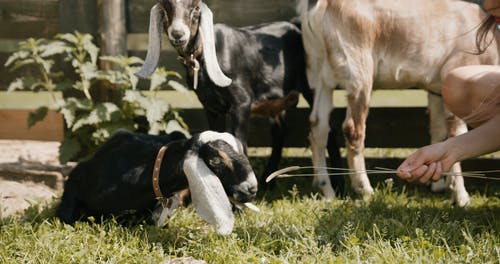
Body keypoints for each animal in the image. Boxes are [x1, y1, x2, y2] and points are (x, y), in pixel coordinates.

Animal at [135, 0, 342, 192]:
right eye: (165, 6)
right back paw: (268, 180)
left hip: (313, 86)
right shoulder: (210, 106)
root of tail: (295, 25)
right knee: (280, 131)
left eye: (195, 8)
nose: (178, 33)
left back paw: (338, 186)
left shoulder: (241, 102)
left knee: (327, 127)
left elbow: (239, 141)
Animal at [298, 0, 498, 206]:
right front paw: (461, 197)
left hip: (319, 74)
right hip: (358, 71)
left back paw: (326, 190)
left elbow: (438, 130)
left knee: (318, 127)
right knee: (352, 129)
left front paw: (437, 185)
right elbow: (455, 135)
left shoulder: (436, 91)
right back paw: (365, 190)